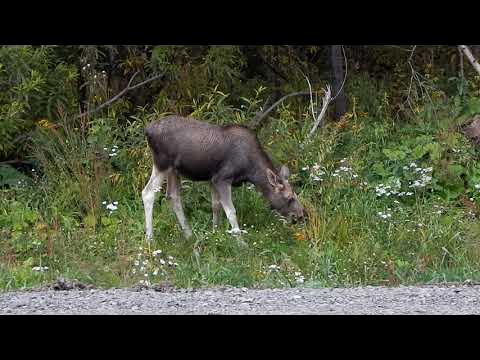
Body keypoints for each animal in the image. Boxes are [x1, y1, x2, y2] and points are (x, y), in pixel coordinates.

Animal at [142, 114, 304, 240]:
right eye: (290, 198)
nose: (300, 216)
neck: (250, 172)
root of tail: (147, 130)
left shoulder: (212, 179)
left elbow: (216, 206)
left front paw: (215, 233)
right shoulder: (222, 179)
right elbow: (231, 211)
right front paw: (240, 242)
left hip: (174, 170)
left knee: (173, 196)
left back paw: (189, 234)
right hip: (162, 164)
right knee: (148, 192)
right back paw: (150, 238)